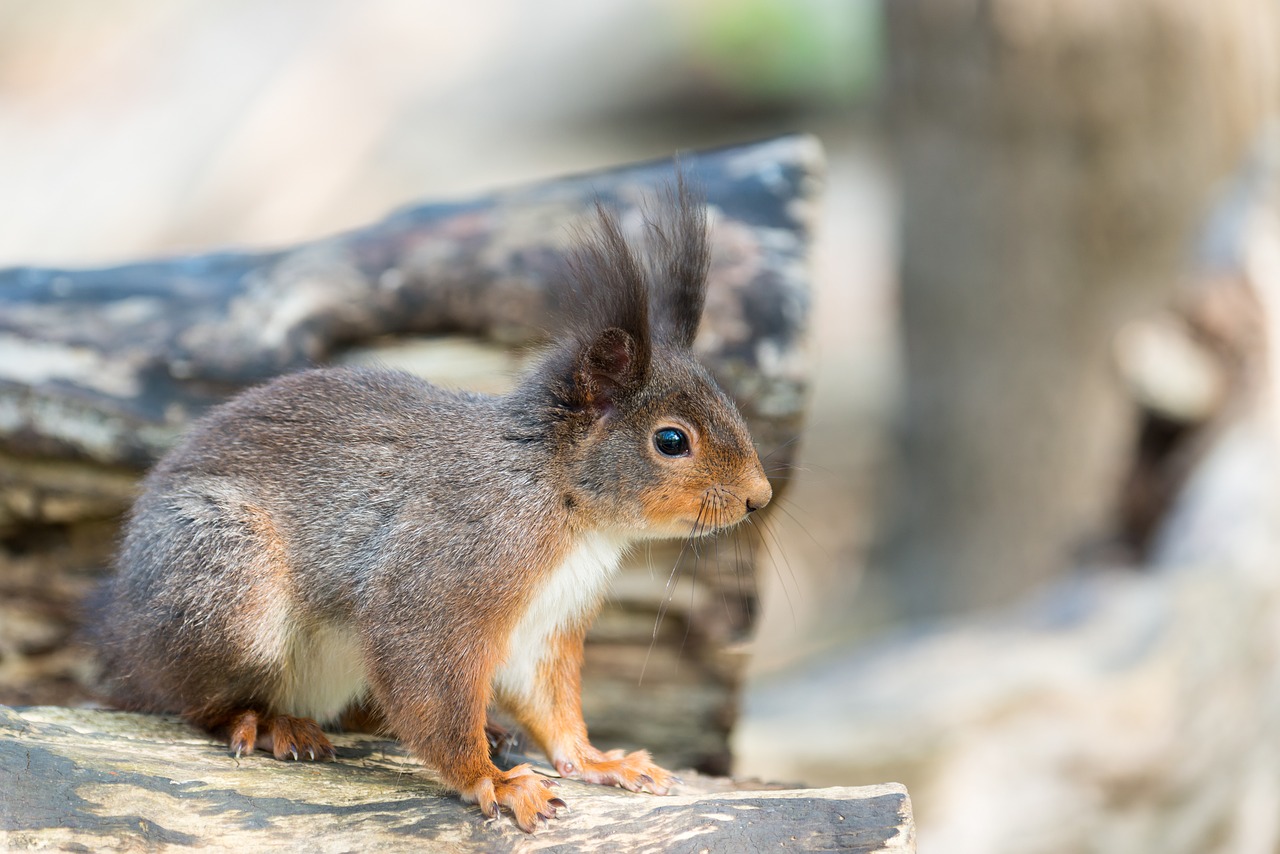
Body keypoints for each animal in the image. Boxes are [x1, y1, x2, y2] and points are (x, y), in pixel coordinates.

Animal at [92, 176, 768, 829]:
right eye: (671, 440)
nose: (758, 498)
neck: (565, 504)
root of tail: (123, 640)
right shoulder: (452, 564)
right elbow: (428, 678)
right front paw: (495, 782)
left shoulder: (550, 616)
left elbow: (549, 702)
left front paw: (601, 760)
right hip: (224, 579)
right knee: (196, 700)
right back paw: (266, 721)